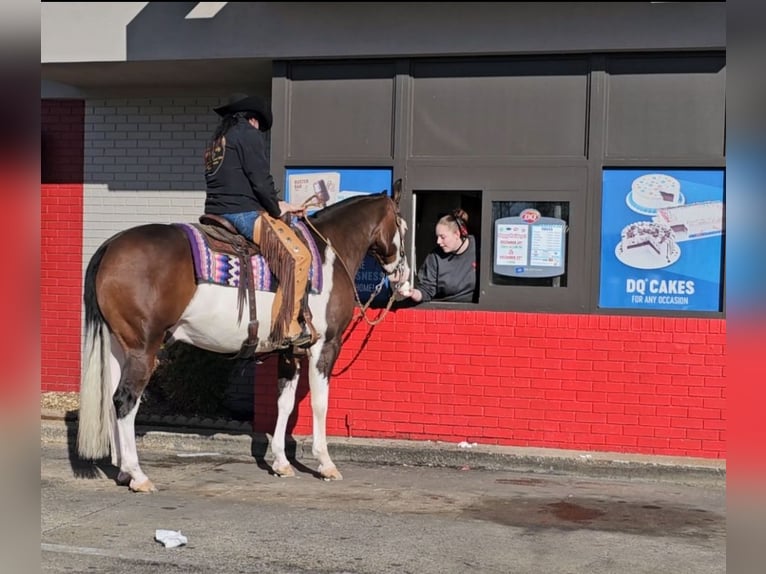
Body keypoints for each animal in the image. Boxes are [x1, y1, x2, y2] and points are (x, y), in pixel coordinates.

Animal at [78, 179, 412, 490]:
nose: (405, 279)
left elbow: (284, 403)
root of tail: (112, 245)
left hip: (120, 346)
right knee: (126, 400)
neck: (330, 254)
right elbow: (320, 403)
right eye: (404, 226)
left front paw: (281, 462)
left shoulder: (290, 351)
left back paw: (123, 470)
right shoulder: (325, 346)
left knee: (113, 400)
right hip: (144, 348)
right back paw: (138, 475)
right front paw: (326, 463)